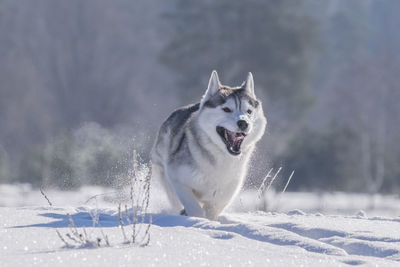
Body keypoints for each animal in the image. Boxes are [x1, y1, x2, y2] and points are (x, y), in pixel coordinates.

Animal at [152, 70, 268, 220]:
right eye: (226, 109)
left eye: (249, 111)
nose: (243, 123)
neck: (220, 157)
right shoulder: (177, 179)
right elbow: (194, 208)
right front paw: (197, 220)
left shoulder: (225, 194)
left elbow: (213, 210)